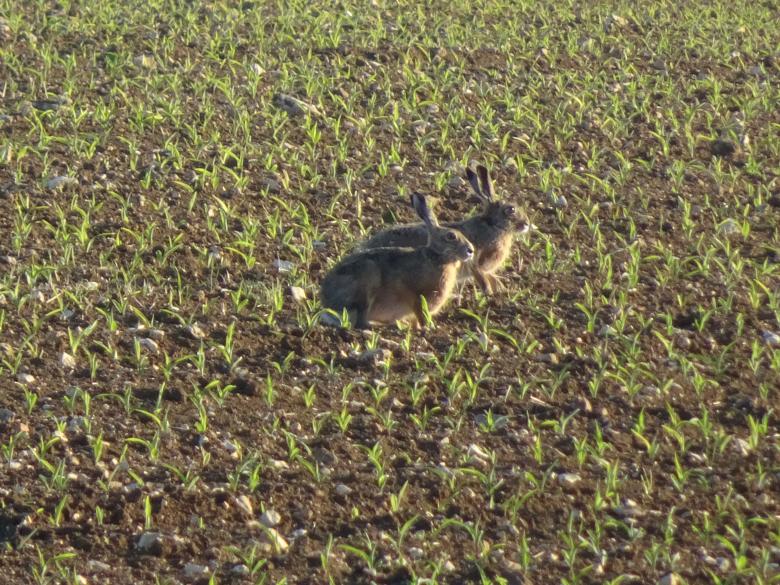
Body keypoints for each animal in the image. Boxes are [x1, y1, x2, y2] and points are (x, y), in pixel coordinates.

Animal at [320, 193, 474, 329]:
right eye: (451, 236)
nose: (470, 250)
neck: (437, 257)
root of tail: (327, 304)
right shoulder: (417, 296)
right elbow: (421, 314)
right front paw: (428, 328)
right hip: (367, 279)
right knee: (360, 322)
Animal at [358, 164, 530, 295]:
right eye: (511, 209)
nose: (527, 223)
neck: (493, 225)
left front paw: (501, 289)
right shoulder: (476, 263)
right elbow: (481, 277)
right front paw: (489, 294)